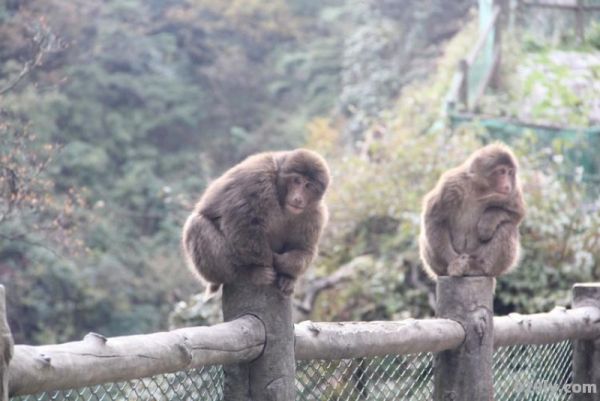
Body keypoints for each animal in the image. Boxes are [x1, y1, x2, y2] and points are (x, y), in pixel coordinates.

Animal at [183, 148, 332, 296]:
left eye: (308, 185)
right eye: (297, 181)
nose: (298, 198)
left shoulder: (316, 214)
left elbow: (303, 248)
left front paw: (283, 265)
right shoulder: (257, 181)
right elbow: (243, 226)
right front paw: (269, 263)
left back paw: (287, 278)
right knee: (197, 225)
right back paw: (245, 273)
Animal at [418, 143, 524, 278]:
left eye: (510, 172)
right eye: (501, 171)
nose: (507, 185)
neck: (479, 189)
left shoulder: (513, 191)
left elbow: (517, 213)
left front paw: (488, 221)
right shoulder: (451, 184)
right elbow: (434, 218)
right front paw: (455, 262)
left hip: (477, 255)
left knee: (508, 227)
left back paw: (479, 268)